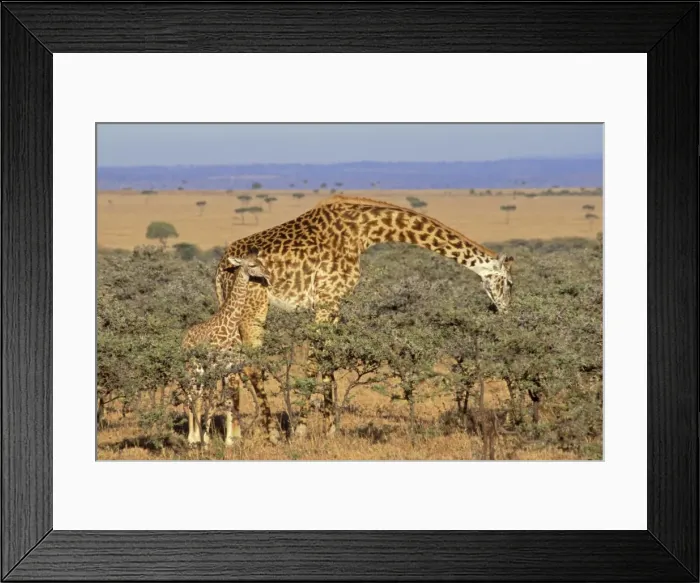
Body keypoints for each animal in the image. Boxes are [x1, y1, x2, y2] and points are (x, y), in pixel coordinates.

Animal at [181, 249, 277, 447]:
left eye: (261, 261)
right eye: (252, 264)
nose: (268, 274)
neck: (231, 324)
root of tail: (184, 339)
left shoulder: (230, 366)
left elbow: (227, 400)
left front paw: (228, 441)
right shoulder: (214, 365)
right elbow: (212, 401)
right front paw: (207, 439)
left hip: (200, 371)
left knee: (196, 397)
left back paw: (195, 437)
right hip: (193, 368)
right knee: (193, 397)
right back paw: (193, 438)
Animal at [214, 195, 514, 438]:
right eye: (510, 283)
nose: (506, 311)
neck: (364, 232)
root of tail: (220, 268)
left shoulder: (335, 303)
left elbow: (328, 361)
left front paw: (331, 429)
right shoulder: (327, 299)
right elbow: (314, 362)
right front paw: (301, 428)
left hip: (231, 307)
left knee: (232, 366)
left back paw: (234, 435)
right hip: (254, 307)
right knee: (251, 365)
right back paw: (271, 434)